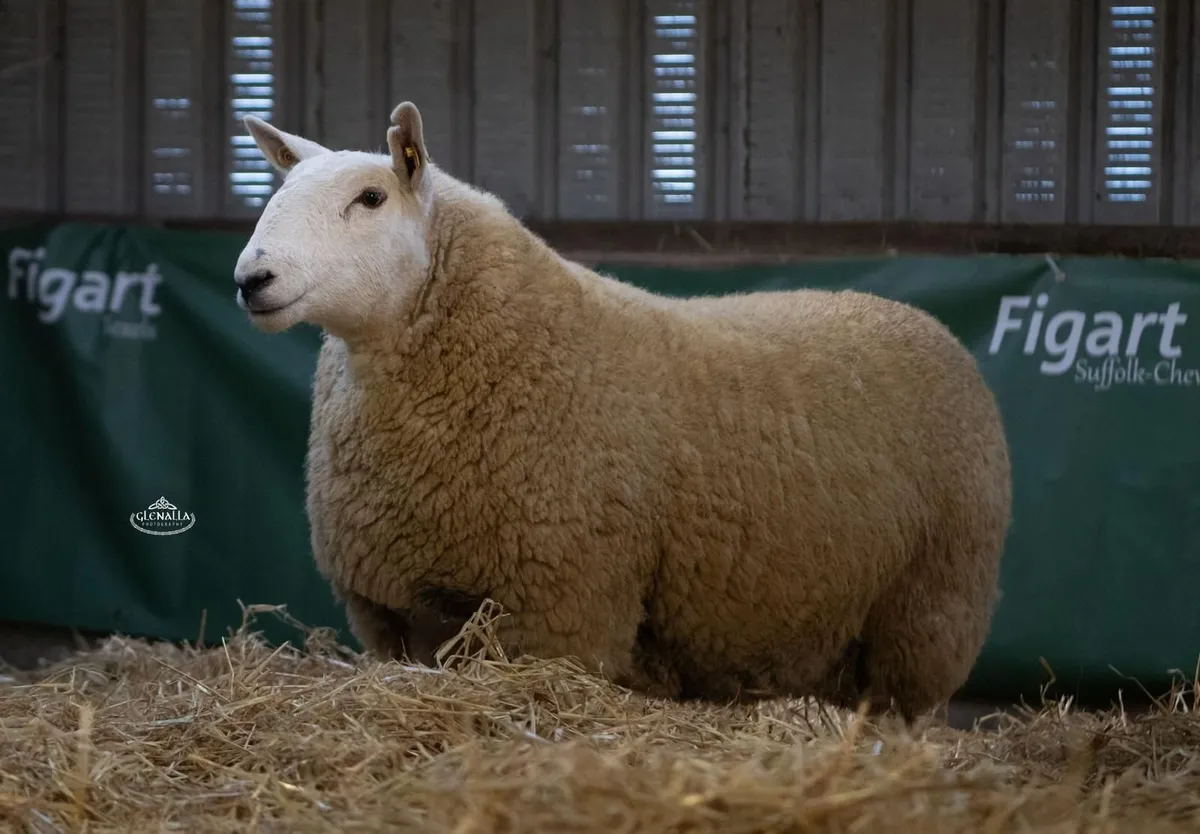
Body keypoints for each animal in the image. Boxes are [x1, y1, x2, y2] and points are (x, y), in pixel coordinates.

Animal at [232, 100, 1013, 722]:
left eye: (370, 197)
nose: (251, 279)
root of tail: (915, 318)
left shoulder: (566, 602)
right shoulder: (397, 610)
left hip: (930, 606)